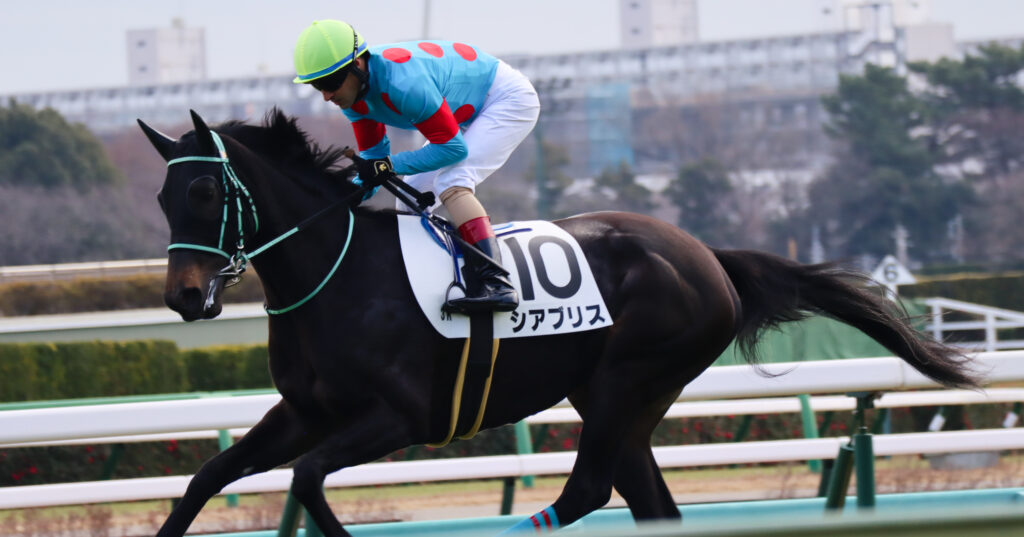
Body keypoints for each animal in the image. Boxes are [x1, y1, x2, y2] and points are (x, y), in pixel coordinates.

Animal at [138, 108, 978, 537]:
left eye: (206, 194)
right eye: (163, 198)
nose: (184, 296)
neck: (337, 274)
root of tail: (705, 252)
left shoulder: (401, 414)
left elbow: (308, 479)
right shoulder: (304, 411)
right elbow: (207, 476)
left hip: (627, 377)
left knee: (587, 491)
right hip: (620, 396)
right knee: (649, 503)